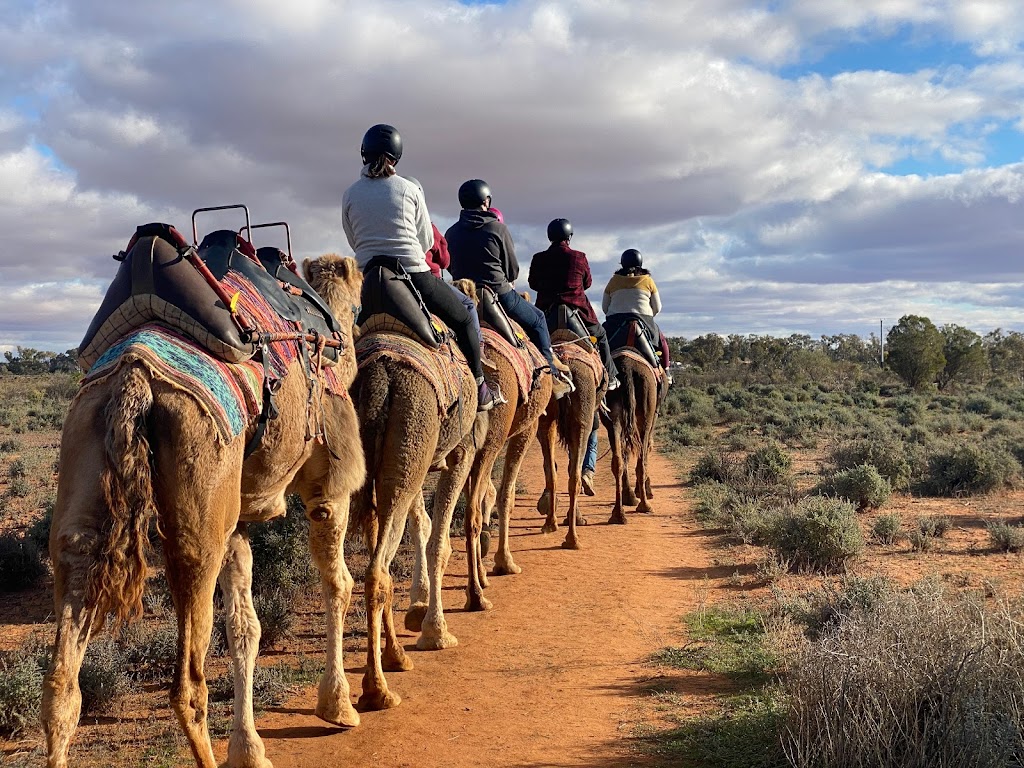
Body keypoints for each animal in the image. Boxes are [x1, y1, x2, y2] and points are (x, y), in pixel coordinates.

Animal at [41, 243, 366, 768]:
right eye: (359, 306)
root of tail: (135, 374)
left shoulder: (236, 522)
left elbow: (245, 628)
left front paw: (249, 748)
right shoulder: (328, 487)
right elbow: (337, 585)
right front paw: (338, 706)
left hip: (85, 446)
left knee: (62, 680)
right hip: (198, 500)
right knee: (187, 686)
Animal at [350, 303, 481, 712]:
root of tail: (379, 375)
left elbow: (420, 525)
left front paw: (419, 611)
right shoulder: (460, 453)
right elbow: (439, 541)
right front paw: (436, 632)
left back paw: (392, 660)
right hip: (412, 443)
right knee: (377, 571)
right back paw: (377, 690)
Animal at [606, 350, 663, 524]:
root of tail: (627, 368)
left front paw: (629, 495)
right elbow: (647, 449)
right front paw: (644, 490)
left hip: (613, 416)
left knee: (618, 461)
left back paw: (618, 514)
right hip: (647, 412)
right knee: (641, 459)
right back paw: (645, 505)